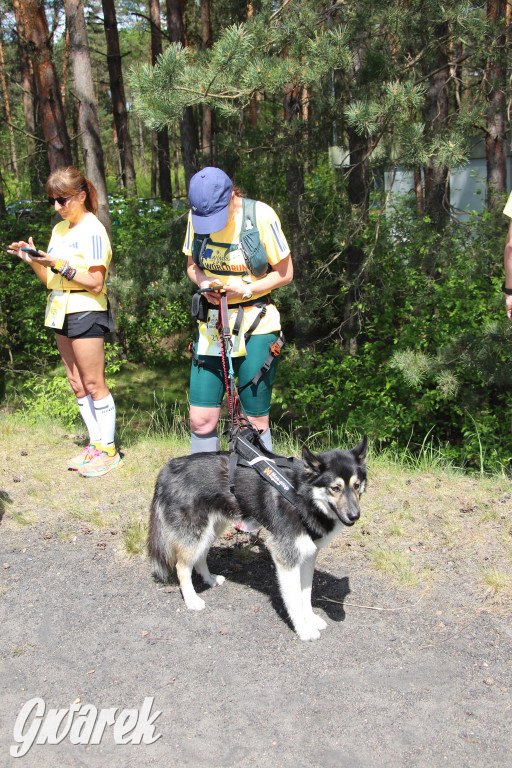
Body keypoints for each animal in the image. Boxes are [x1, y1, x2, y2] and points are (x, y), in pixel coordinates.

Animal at [149, 438, 368, 640]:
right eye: (335, 488)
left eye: (357, 485)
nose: (354, 516)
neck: (301, 494)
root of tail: (167, 469)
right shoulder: (286, 558)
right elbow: (295, 600)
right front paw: (304, 629)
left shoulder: (308, 555)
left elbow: (305, 594)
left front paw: (311, 618)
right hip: (195, 531)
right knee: (182, 567)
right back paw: (192, 599)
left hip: (211, 528)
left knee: (200, 556)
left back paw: (209, 579)